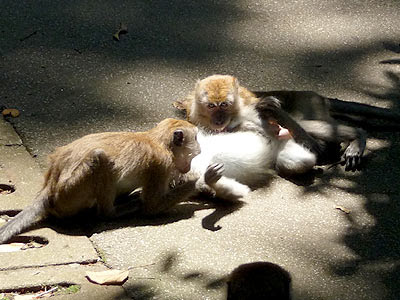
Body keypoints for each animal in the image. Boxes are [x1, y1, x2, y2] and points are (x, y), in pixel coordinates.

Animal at [0, 118, 222, 245]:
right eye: (195, 145)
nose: (198, 149)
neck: (158, 140)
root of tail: (49, 186)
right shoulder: (161, 164)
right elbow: (152, 207)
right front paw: (201, 180)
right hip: (69, 194)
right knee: (100, 159)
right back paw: (114, 211)